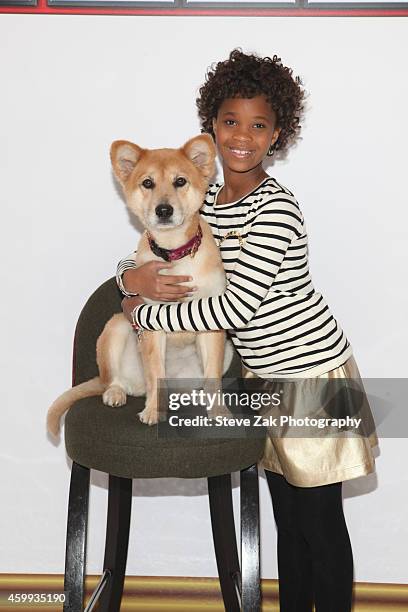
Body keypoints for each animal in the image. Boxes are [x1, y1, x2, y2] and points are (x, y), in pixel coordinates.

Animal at [47, 136, 233, 438]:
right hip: (116, 326)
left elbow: (212, 378)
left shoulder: (213, 324)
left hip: (225, 351)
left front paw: (218, 412)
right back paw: (116, 393)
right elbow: (155, 373)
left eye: (180, 181)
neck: (174, 255)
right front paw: (153, 412)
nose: (164, 210)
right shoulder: (150, 323)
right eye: (147, 183)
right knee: (118, 381)